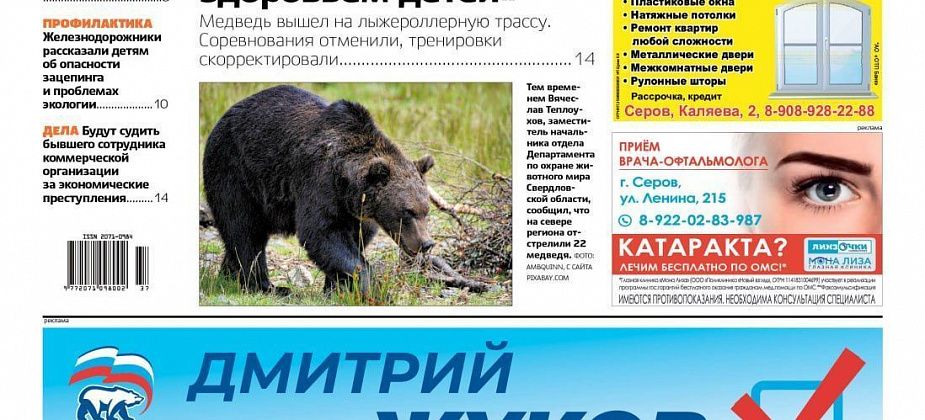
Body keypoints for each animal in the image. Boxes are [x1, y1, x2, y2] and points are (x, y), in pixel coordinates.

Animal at [203, 85, 436, 294]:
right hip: (235, 171)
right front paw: (371, 288)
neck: (346, 183)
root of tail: (221, 119)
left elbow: (356, 238)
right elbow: (322, 233)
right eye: (407, 211)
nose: (426, 243)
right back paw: (266, 286)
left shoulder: (354, 210)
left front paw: (336, 287)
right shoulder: (318, 180)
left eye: (426, 210)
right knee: (245, 229)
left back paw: (228, 275)